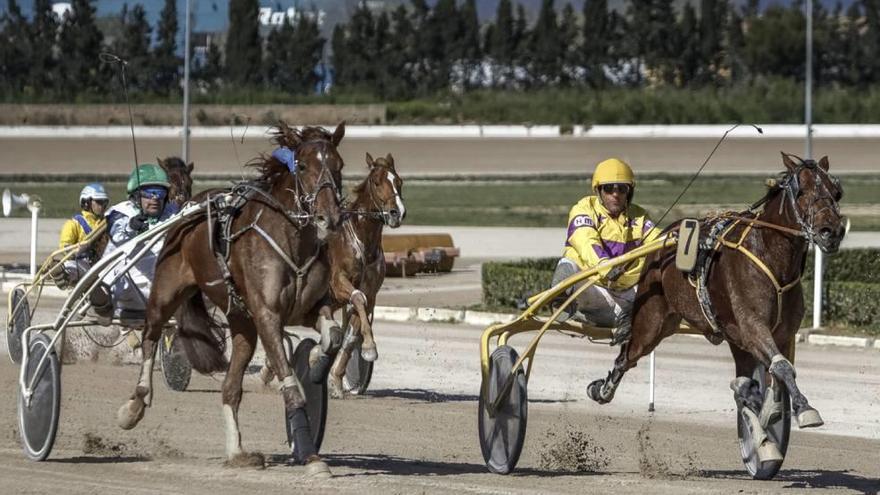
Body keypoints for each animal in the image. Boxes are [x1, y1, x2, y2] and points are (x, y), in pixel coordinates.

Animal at [116, 122, 348, 478]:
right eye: (303, 166)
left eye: (339, 166)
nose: (329, 218)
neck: (292, 238)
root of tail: (190, 207)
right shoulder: (267, 315)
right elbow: (290, 384)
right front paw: (311, 456)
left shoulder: (308, 308)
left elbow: (333, 335)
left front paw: (316, 366)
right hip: (166, 292)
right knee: (151, 335)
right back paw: (134, 405)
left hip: (242, 325)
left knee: (230, 388)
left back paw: (237, 451)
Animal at [314, 152, 408, 400]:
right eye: (376, 182)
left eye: (399, 181)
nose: (397, 213)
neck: (362, 240)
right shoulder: (338, 282)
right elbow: (357, 299)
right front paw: (369, 348)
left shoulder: (371, 292)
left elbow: (353, 330)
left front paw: (337, 380)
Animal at [584, 153, 844, 460]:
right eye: (801, 191)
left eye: (836, 191)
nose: (831, 232)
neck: (771, 257)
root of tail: (664, 238)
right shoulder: (753, 326)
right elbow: (781, 367)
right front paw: (805, 409)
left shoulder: (782, 333)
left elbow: (779, 371)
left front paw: (771, 413)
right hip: (652, 321)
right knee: (627, 356)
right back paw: (602, 390)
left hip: (730, 337)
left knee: (742, 380)